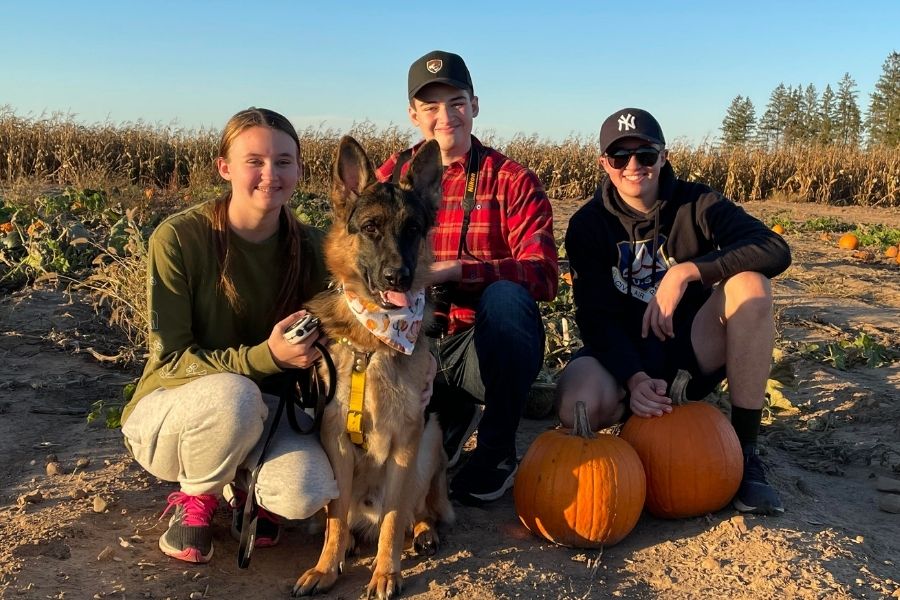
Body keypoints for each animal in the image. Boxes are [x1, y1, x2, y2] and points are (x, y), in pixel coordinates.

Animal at [294, 137, 454, 600]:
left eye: (413, 230)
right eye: (370, 228)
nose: (398, 276)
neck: (375, 342)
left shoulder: (406, 440)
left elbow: (394, 520)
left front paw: (385, 574)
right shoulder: (335, 440)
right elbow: (334, 516)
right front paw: (326, 567)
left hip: (430, 441)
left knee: (414, 512)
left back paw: (424, 532)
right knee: (347, 517)